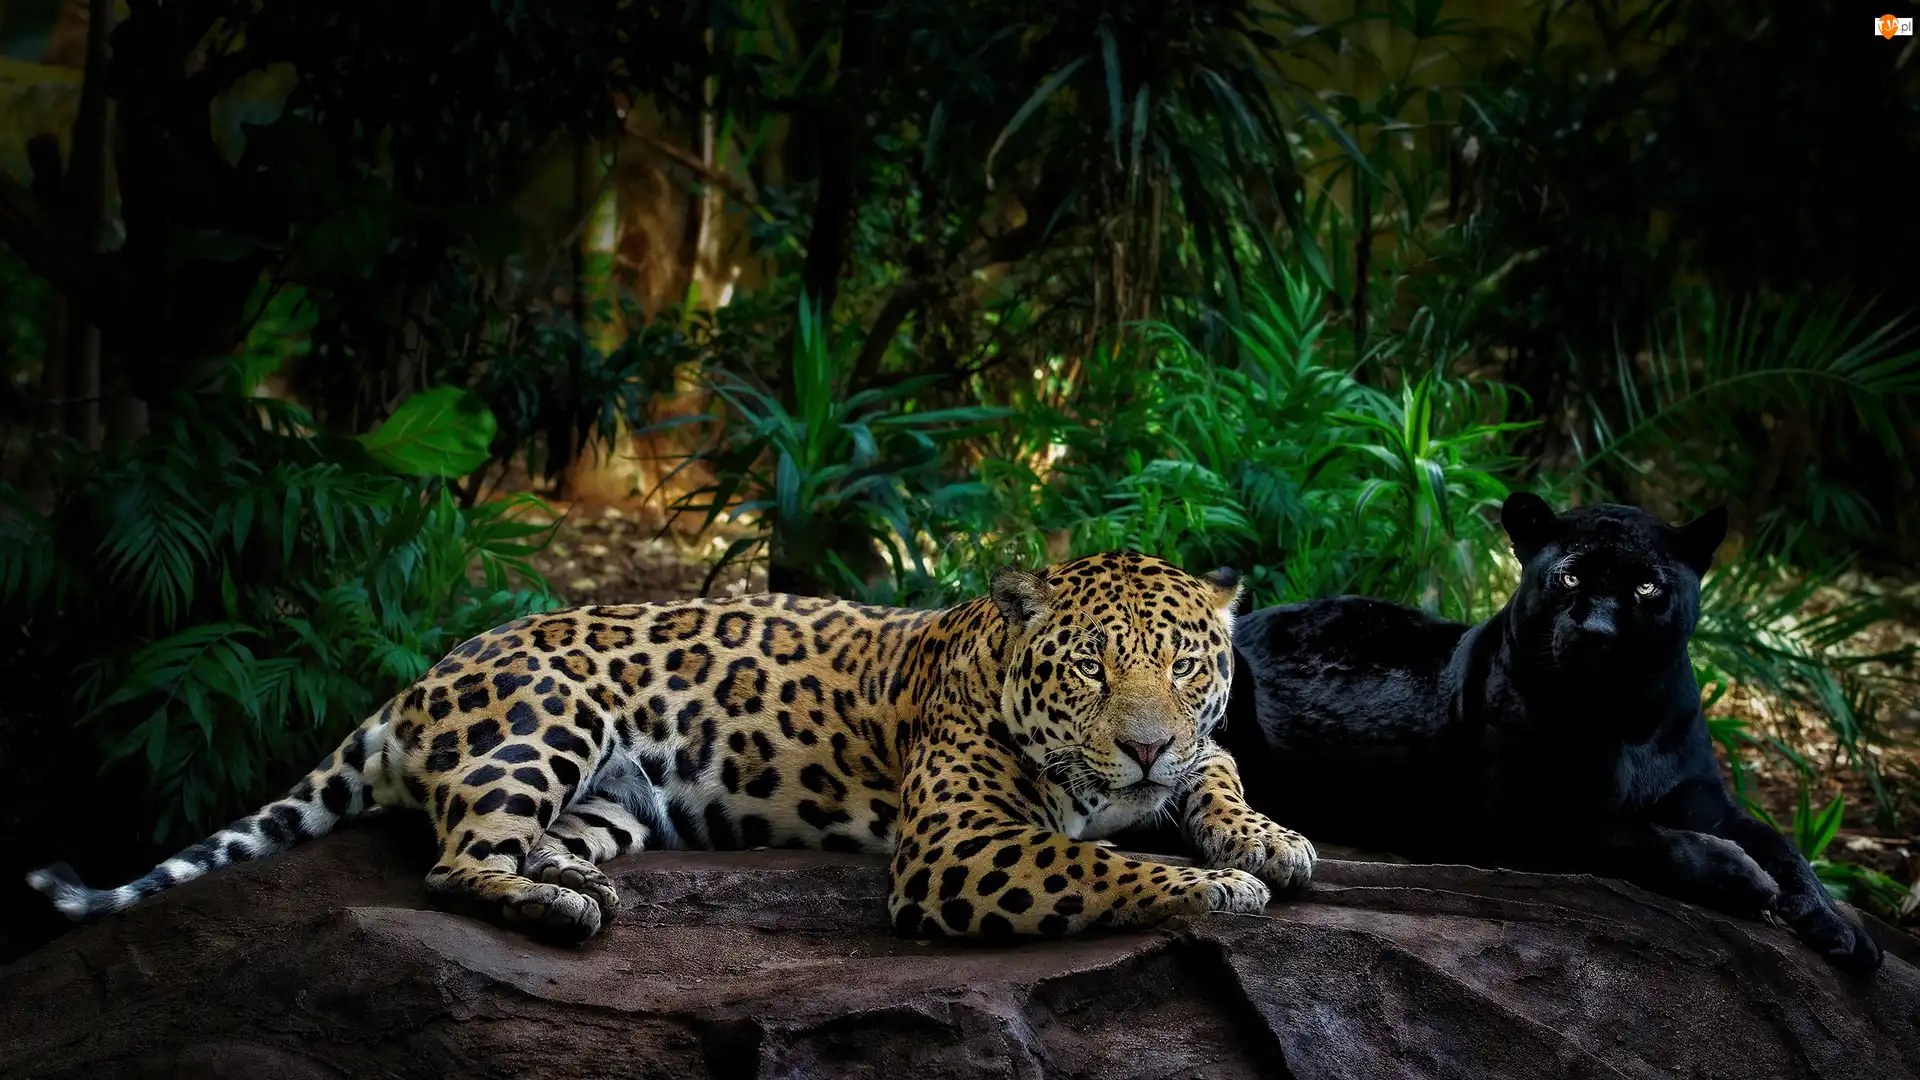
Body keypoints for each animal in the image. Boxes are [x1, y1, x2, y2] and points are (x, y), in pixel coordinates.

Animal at [28, 551, 1316, 944]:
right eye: (1092, 667)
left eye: (1186, 667)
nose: (1141, 747)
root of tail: (413, 682)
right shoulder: (956, 844)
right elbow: (1097, 859)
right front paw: (1214, 889)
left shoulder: (1193, 754)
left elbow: (1221, 773)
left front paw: (1270, 841)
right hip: (545, 719)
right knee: (452, 862)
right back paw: (558, 911)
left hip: (616, 793)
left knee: (533, 839)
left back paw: (574, 878)